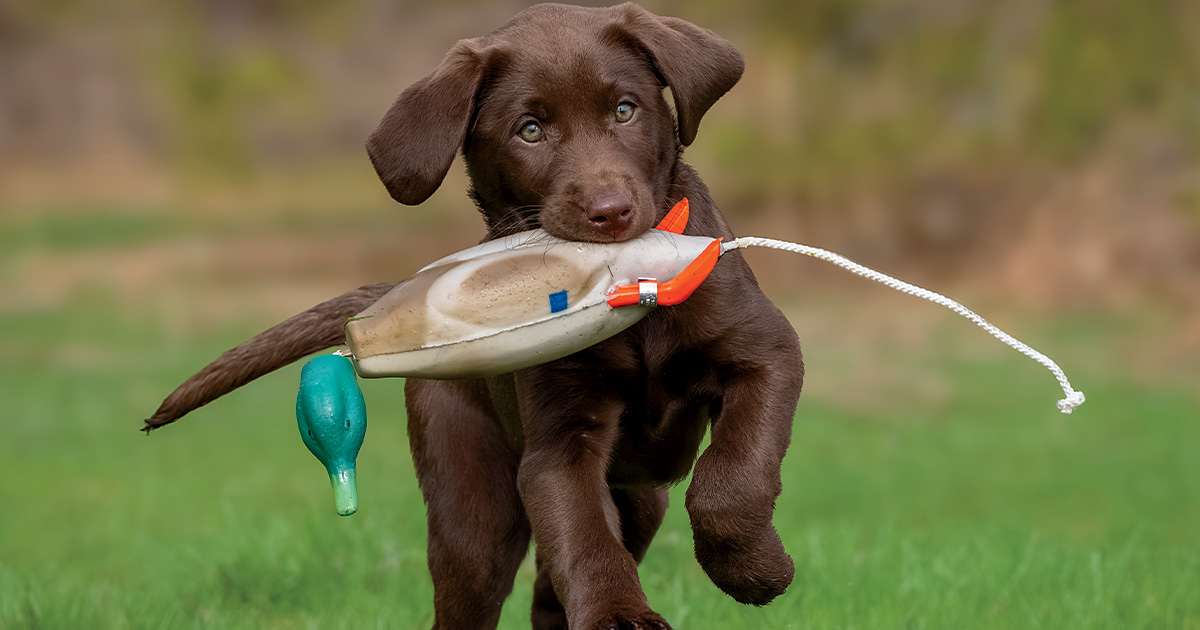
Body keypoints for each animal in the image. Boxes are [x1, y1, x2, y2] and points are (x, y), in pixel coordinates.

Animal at [150, 4, 806, 628]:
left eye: (625, 111)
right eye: (530, 131)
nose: (611, 213)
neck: (632, 291)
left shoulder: (765, 354)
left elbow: (731, 480)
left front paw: (754, 572)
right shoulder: (558, 443)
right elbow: (585, 541)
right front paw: (623, 617)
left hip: (639, 497)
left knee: (554, 590)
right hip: (472, 503)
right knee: (484, 585)